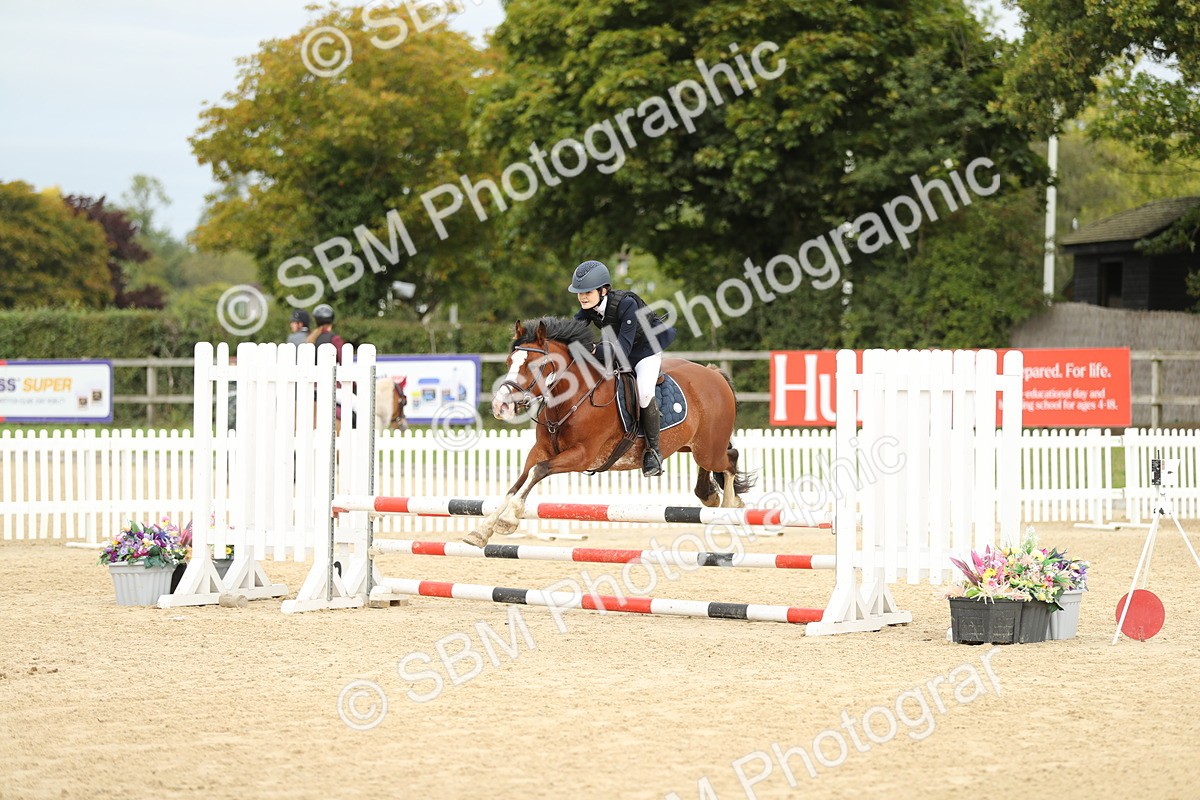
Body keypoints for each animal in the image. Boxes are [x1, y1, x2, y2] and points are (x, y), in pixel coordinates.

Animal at [463, 317, 755, 547]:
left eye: (534, 365)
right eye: (509, 361)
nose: (500, 406)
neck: (571, 398)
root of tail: (713, 373)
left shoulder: (582, 456)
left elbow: (538, 471)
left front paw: (509, 519)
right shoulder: (541, 450)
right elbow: (518, 482)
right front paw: (482, 530)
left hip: (708, 448)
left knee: (730, 460)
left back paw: (730, 509)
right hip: (692, 446)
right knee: (713, 470)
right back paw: (710, 497)